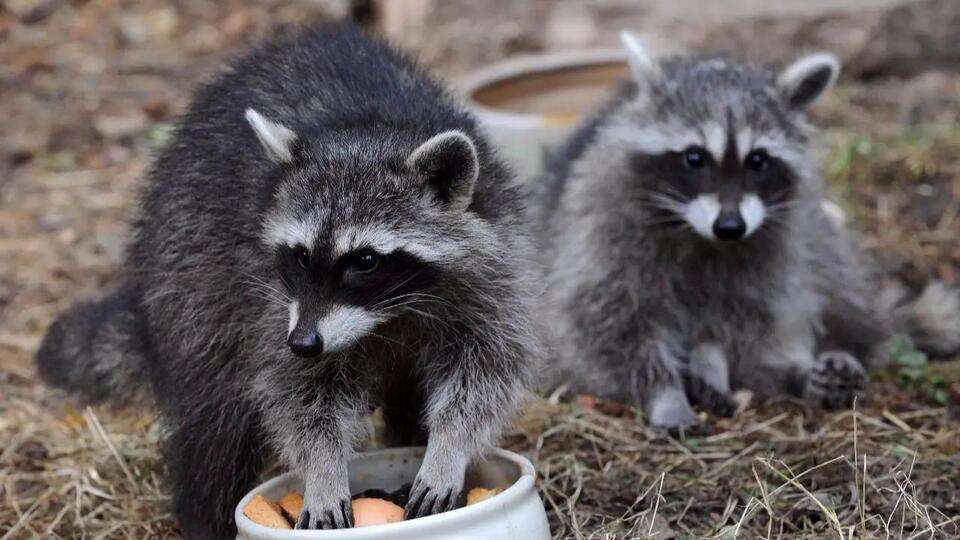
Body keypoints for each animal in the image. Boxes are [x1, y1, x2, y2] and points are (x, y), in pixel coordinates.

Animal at [36, 24, 540, 537]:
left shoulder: (492, 271)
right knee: (216, 425)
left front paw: (447, 448)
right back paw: (206, 512)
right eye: (299, 256)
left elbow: (483, 372)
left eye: (365, 260)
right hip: (188, 272)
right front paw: (322, 470)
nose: (302, 343)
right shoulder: (276, 304)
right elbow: (300, 394)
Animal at [531, 31, 960, 428]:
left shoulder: (770, 243)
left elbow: (734, 319)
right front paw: (663, 391)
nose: (730, 226)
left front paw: (711, 360)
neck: (700, 235)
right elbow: (614, 323)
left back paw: (816, 362)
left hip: (814, 232)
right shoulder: (603, 237)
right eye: (694, 158)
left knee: (832, 280)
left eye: (758, 160)